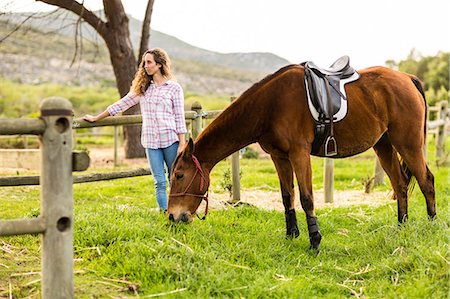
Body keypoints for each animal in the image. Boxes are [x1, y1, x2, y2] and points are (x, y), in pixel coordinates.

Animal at [167, 63, 434, 251]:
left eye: (179, 175)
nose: (172, 216)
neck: (271, 104)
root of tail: (408, 78)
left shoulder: (299, 153)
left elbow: (306, 198)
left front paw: (314, 240)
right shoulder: (279, 157)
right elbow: (287, 196)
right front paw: (291, 234)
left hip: (408, 144)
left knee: (426, 181)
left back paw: (432, 224)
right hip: (385, 146)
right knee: (400, 185)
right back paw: (401, 227)